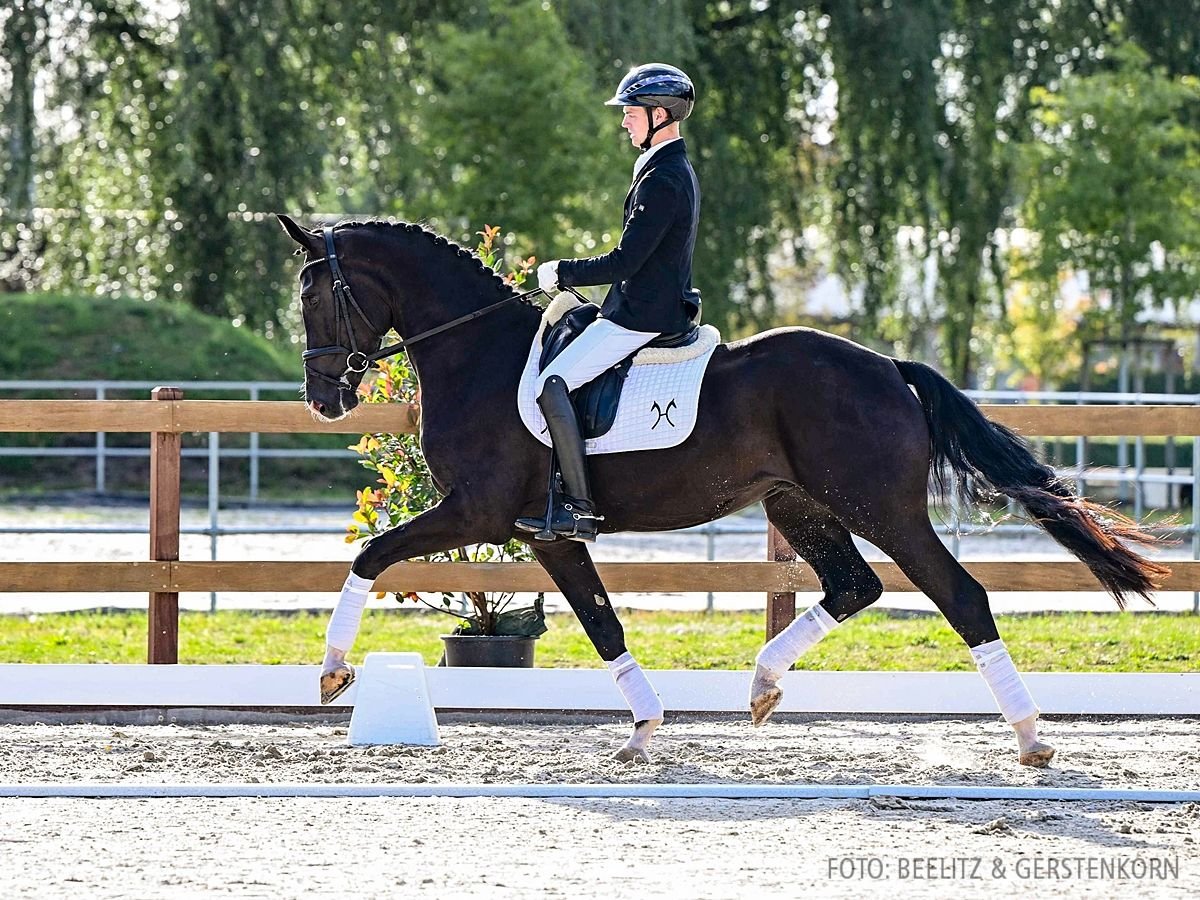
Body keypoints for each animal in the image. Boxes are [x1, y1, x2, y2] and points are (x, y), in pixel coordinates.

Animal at [278, 214, 1161, 763]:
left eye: (314, 294)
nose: (322, 399)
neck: (481, 354)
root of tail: (889, 366)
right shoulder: (544, 532)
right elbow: (602, 623)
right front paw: (643, 729)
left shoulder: (479, 511)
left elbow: (371, 554)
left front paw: (332, 673)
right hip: (797, 503)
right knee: (855, 587)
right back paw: (764, 685)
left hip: (882, 508)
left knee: (960, 596)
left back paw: (1031, 738)